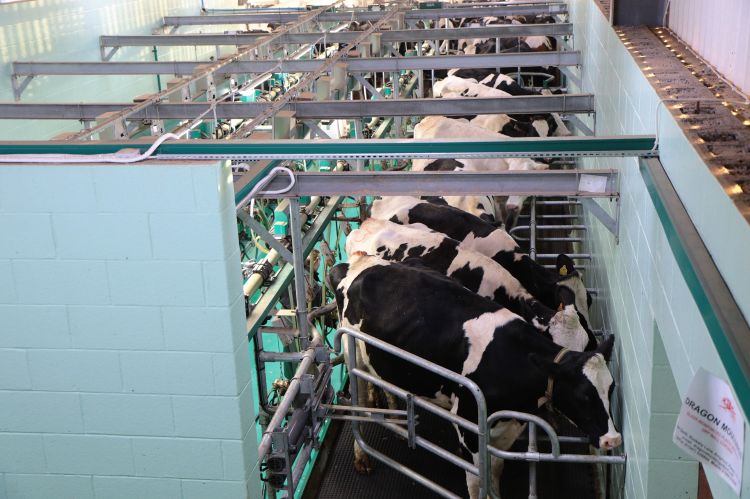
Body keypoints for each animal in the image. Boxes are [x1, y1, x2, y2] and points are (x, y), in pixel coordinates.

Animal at [332, 256, 620, 499]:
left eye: (611, 388)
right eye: (583, 395)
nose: (613, 438)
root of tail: (358, 263)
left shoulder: (507, 426)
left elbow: (495, 469)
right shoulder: (470, 425)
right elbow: (476, 480)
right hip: (351, 350)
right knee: (358, 398)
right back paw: (362, 457)